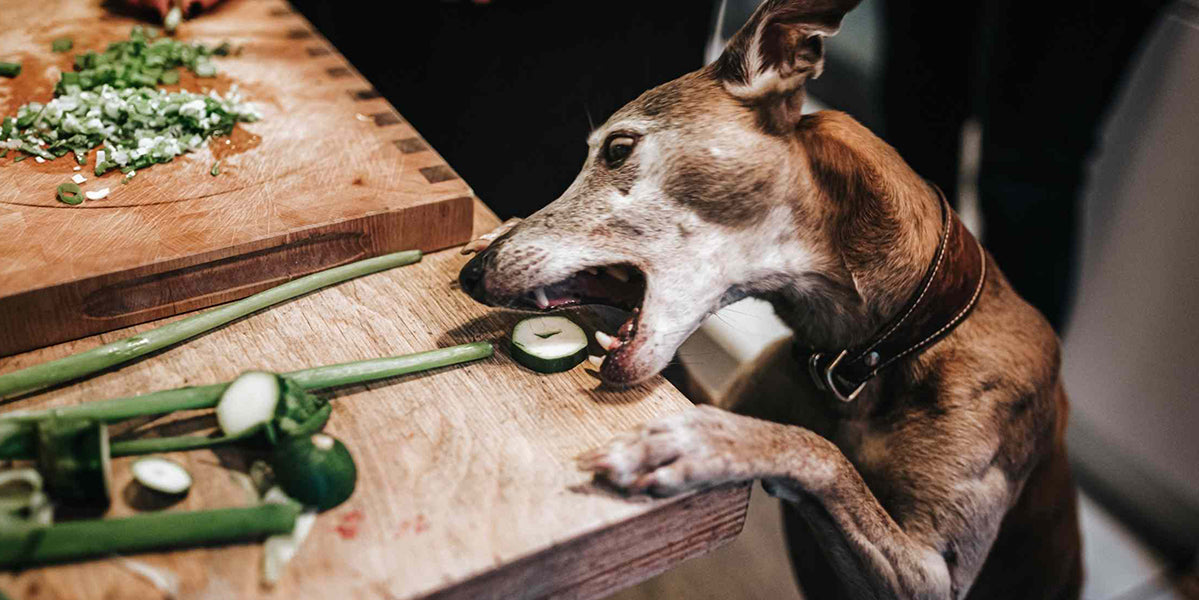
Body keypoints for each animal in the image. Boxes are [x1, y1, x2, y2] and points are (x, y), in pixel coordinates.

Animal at [453, 2, 1083, 597]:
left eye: (617, 148)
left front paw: (704, 444)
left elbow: (821, 452)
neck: (875, 352)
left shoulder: (934, 574)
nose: (472, 274)